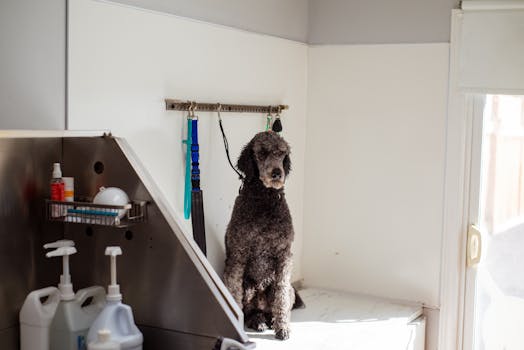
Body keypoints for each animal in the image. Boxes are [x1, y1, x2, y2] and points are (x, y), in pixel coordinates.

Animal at [224, 131, 304, 340]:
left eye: (282, 153)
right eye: (261, 152)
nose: (277, 173)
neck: (264, 200)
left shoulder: (284, 255)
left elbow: (281, 297)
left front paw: (283, 328)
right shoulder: (237, 255)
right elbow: (234, 294)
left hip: (281, 287)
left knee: (275, 305)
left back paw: (270, 321)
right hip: (249, 285)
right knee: (251, 311)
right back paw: (257, 321)